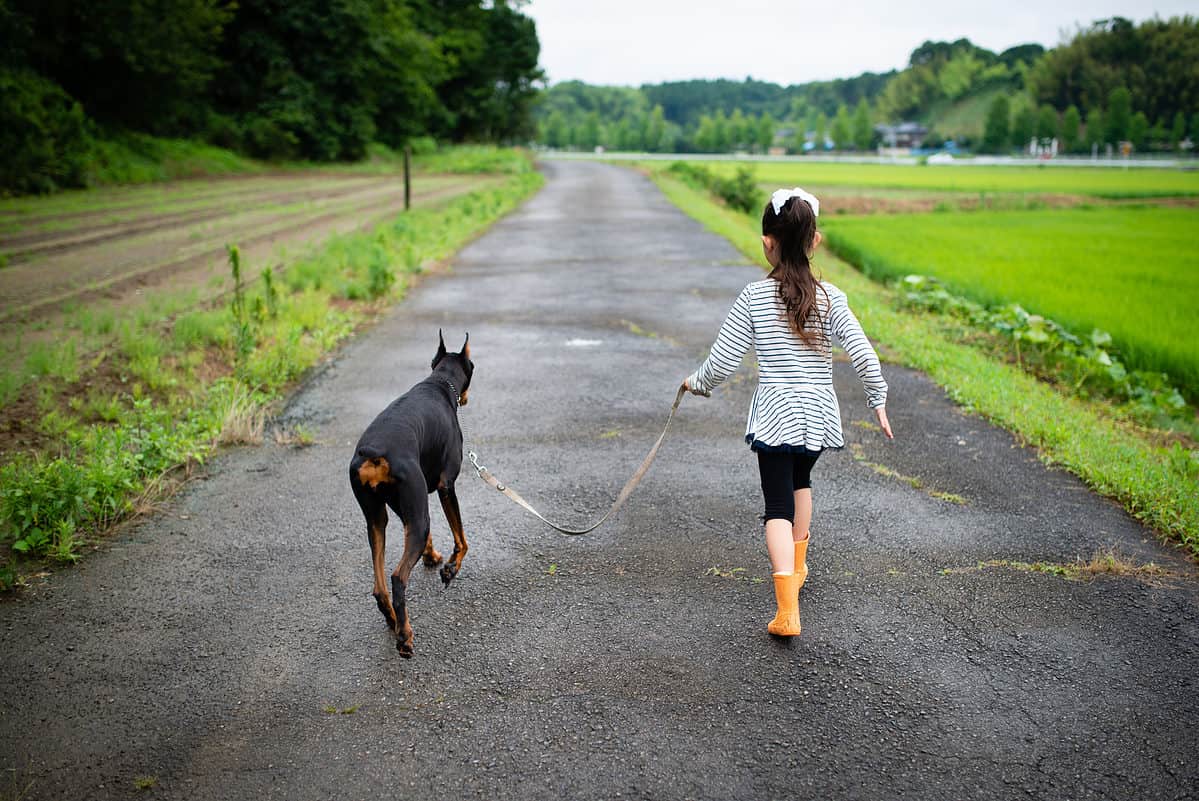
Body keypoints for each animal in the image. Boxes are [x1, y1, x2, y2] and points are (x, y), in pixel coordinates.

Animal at [347, 330, 472, 657]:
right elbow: (462, 539)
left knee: (380, 585)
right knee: (397, 577)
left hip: (377, 517)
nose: (465, 399)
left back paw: (392, 619)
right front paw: (450, 569)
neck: (439, 382)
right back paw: (405, 637)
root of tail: (374, 453)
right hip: (417, 512)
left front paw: (432, 557)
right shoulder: (446, 486)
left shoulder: (411, 501)